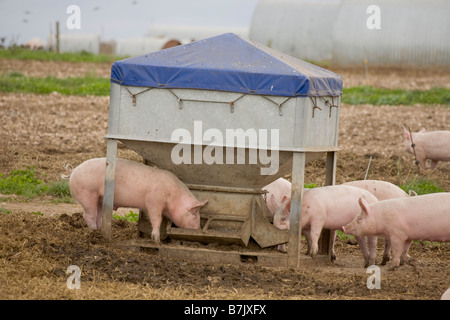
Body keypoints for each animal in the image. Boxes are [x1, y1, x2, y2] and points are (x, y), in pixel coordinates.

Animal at [70, 158, 207, 242]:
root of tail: (73, 172)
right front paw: (156, 240)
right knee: (88, 215)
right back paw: (93, 230)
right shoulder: (153, 202)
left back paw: (98, 230)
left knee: (98, 216)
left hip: (99, 199)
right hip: (88, 194)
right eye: (194, 214)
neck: (173, 196)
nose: (198, 229)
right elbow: (157, 219)